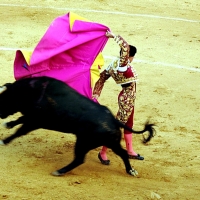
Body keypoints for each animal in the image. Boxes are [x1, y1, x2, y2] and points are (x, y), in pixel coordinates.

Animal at [0, 76, 155, 177]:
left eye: (5, 98)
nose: (1, 114)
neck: (32, 90)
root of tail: (113, 119)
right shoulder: (32, 118)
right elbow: (19, 120)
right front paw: (8, 124)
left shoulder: (36, 121)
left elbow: (20, 130)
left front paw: (4, 140)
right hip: (112, 142)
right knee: (122, 153)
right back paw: (131, 171)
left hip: (83, 142)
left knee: (79, 159)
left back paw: (59, 171)